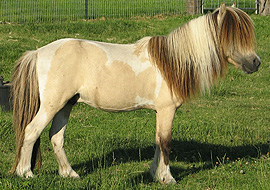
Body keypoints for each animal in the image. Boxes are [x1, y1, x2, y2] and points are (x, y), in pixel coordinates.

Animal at [10, 3, 260, 183]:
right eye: (233, 36)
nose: (256, 63)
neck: (172, 62)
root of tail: (38, 52)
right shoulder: (167, 110)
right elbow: (166, 142)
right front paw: (167, 178)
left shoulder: (161, 112)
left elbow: (158, 141)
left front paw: (156, 174)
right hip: (52, 105)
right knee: (31, 131)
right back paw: (26, 173)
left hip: (66, 105)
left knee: (56, 138)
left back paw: (69, 174)